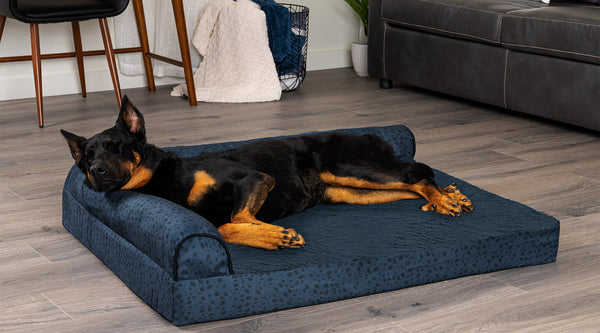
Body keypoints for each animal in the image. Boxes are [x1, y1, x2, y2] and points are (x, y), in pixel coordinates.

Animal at [61, 96, 474, 249]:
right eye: (86, 157)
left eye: (116, 145)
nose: (94, 171)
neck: (166, 179)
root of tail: (377, 136)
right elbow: (224, 225)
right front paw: (273, 235)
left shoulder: (255, 179)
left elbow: (232, 220)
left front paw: (274, 235)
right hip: (352, 191)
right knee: (409, 184)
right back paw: (449, 197)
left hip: (351, 168)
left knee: (416, 173)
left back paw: (446, 200)